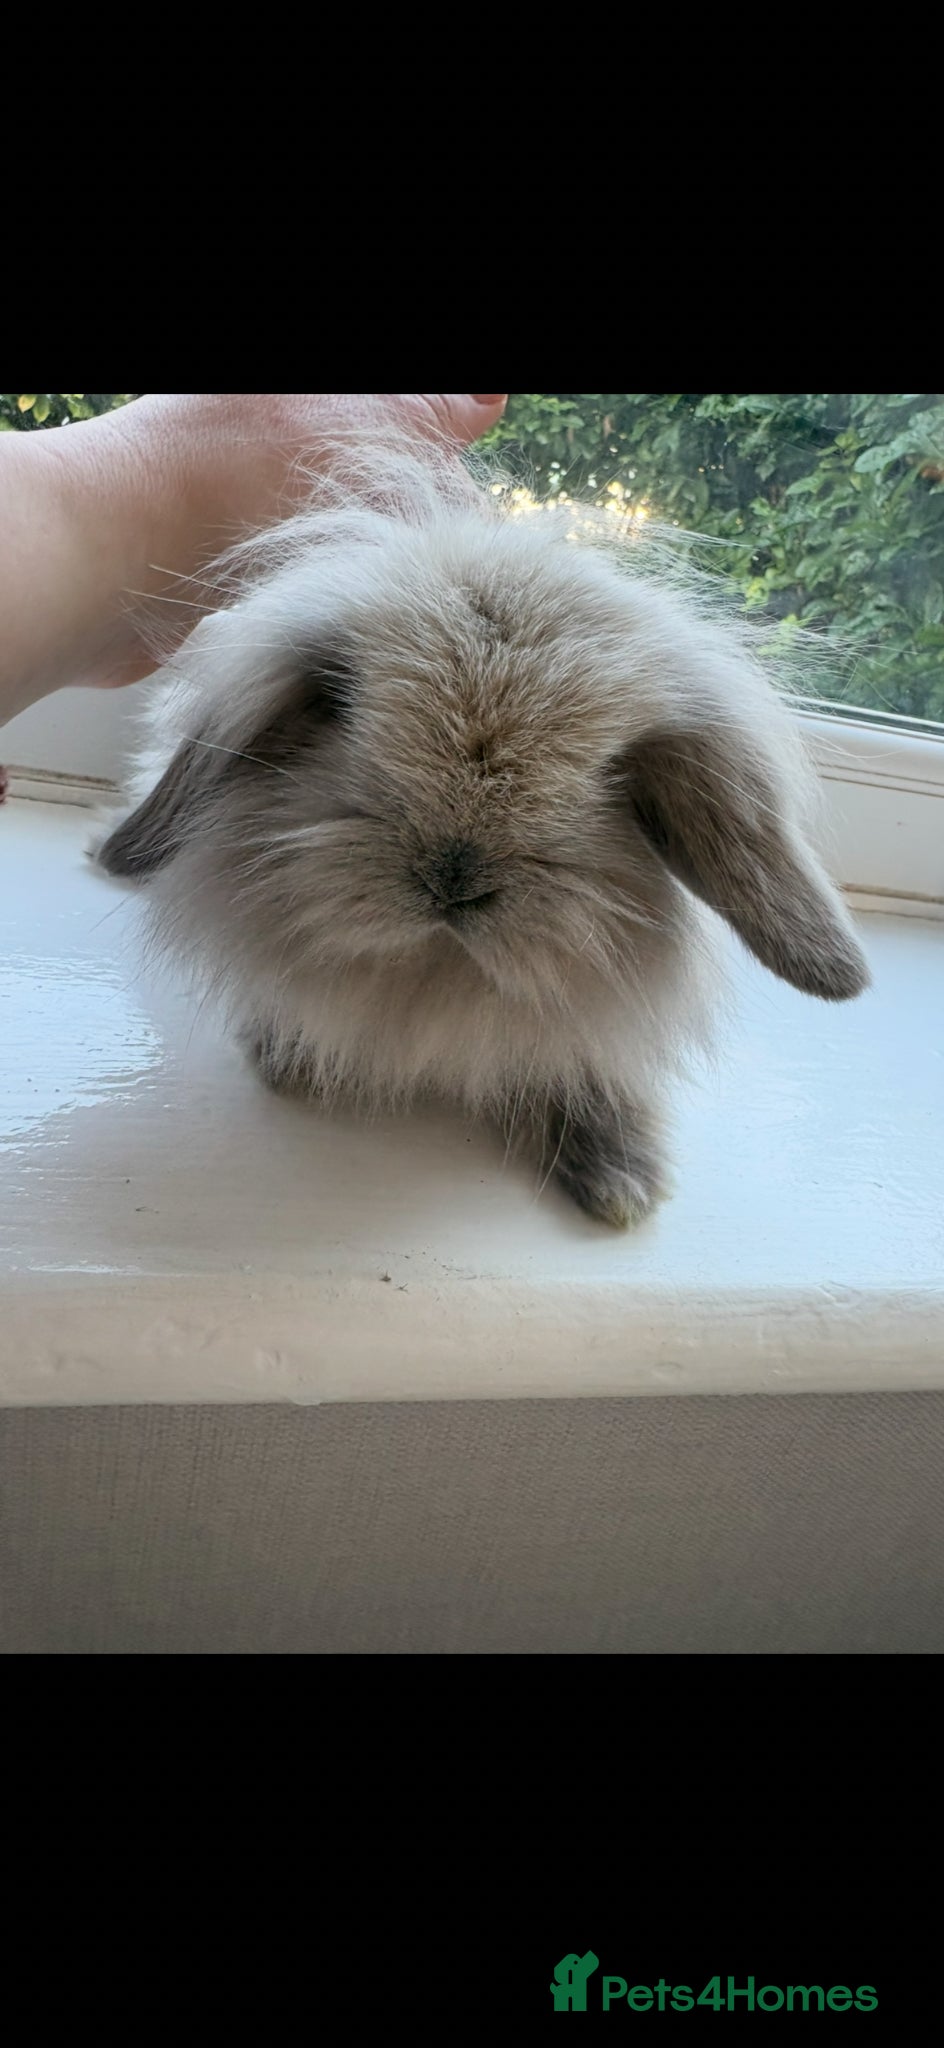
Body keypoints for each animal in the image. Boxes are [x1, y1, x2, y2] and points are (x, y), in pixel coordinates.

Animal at [93, 438, 870, 1228]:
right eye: (340, 705)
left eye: (612, 770)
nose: (452, 878)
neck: (437, 977)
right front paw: (290, 1058)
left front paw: (621, 1181)